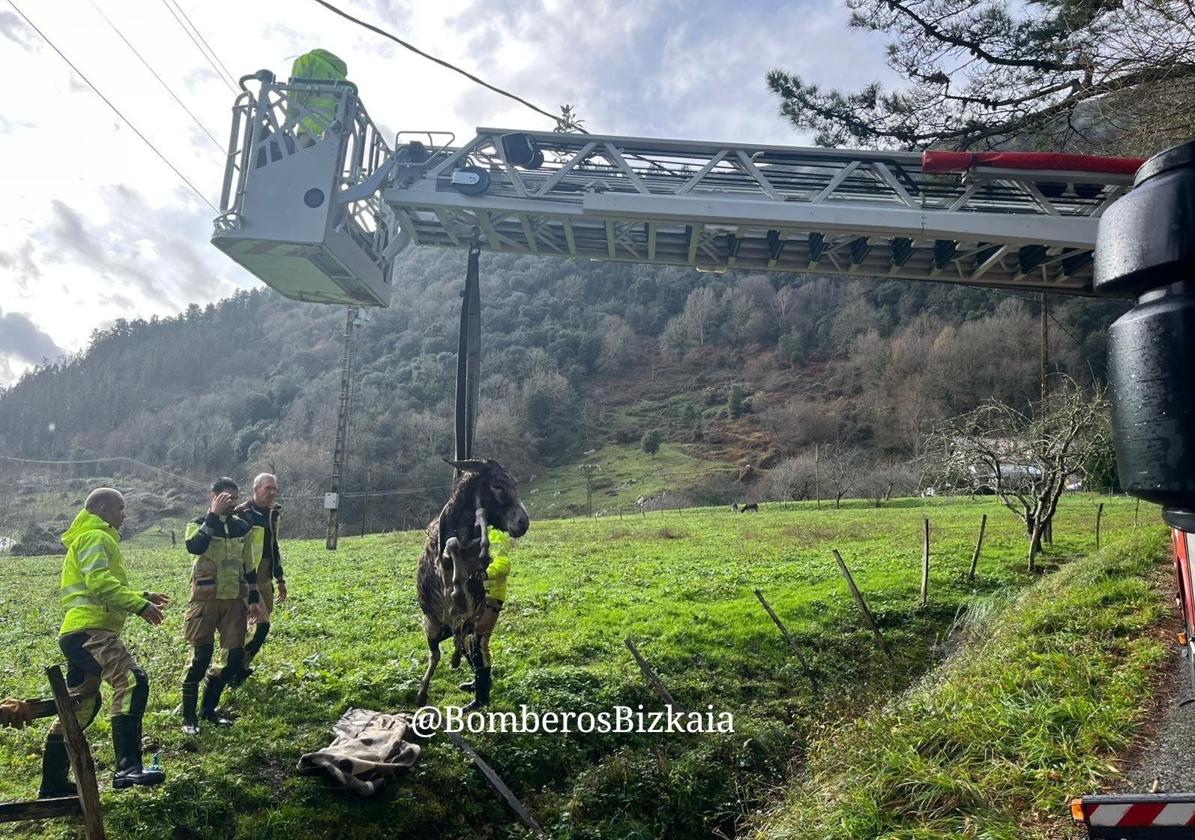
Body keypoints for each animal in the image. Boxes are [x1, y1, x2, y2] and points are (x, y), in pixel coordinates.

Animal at [420, 456, 532, 712]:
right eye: (497, 485)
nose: (523, 523)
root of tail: (447, 629)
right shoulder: (444, 557)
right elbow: (451, 545)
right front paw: (457, 592)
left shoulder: (479, 557)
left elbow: (482, 550)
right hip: (431, 627)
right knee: (435, 656)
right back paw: (422, 692)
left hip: (466, 626)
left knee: (466, 647)